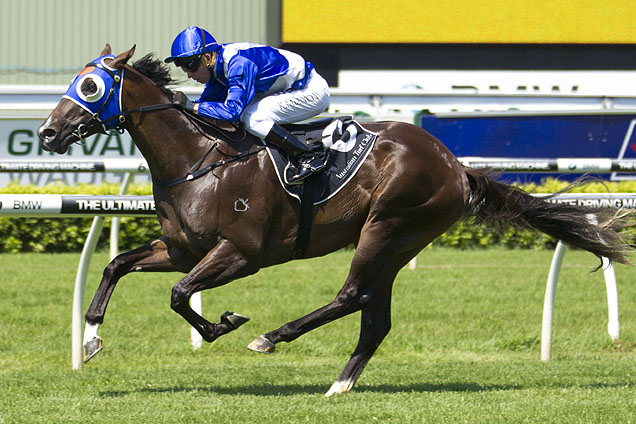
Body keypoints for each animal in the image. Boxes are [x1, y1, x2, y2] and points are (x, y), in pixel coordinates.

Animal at [38, 47, 632, 398]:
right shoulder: (182, 249)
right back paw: (340, 385)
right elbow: (117, 264)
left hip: (387, 226)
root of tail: (454, 165)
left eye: (90, 88)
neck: (199, 159)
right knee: (375, 315)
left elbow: (181, 294)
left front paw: (225, 324)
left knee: (352, 296)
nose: (46, 133)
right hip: (399, 242)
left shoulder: (242, 254)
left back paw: (273, 338)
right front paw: (90, 339)